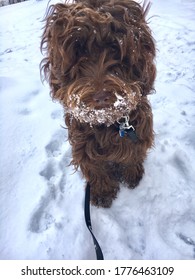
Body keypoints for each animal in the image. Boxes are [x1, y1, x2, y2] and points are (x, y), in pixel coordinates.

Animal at [40, 0, 156, 208]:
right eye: (78, 53)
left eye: (115, 48)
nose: (101, 96)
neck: (108, 123)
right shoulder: (83, 145)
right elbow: (96, 169)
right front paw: (103, 193)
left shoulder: (139, 133)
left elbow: (133, 155)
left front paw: (133, 176)